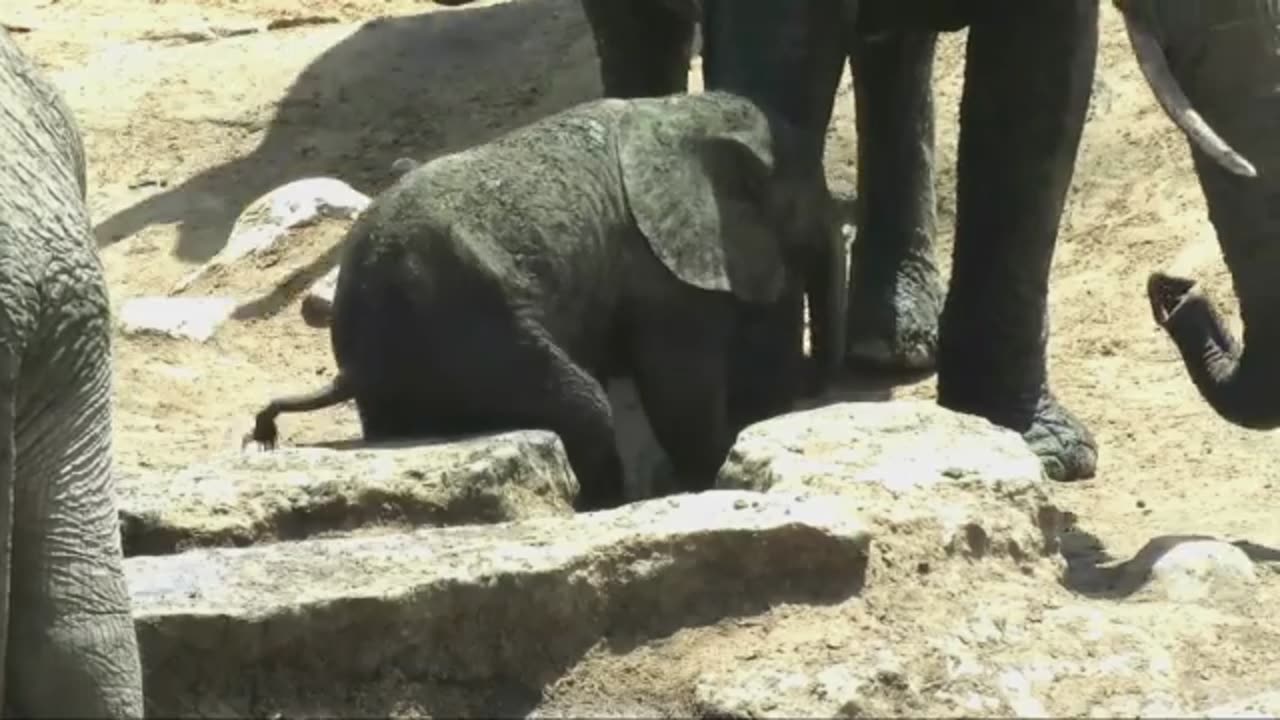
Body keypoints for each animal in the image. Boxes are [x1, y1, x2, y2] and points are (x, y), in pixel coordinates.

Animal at [249, 90, 849, 509]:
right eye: (805, 202)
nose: (814, 386)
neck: (685, 113)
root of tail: (353, 364)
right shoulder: (663, 274)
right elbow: (680, 390)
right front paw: (708, 478)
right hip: (472, 326)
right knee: (584, 406)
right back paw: (605, 502)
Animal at [583, 1, 1259, 481]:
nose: (1175, 294)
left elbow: (1037, 81)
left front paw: (1039, 451)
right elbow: (780, 52)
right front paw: (744, 437)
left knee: (895, 49)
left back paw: (891, 343)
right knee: (640, 28)